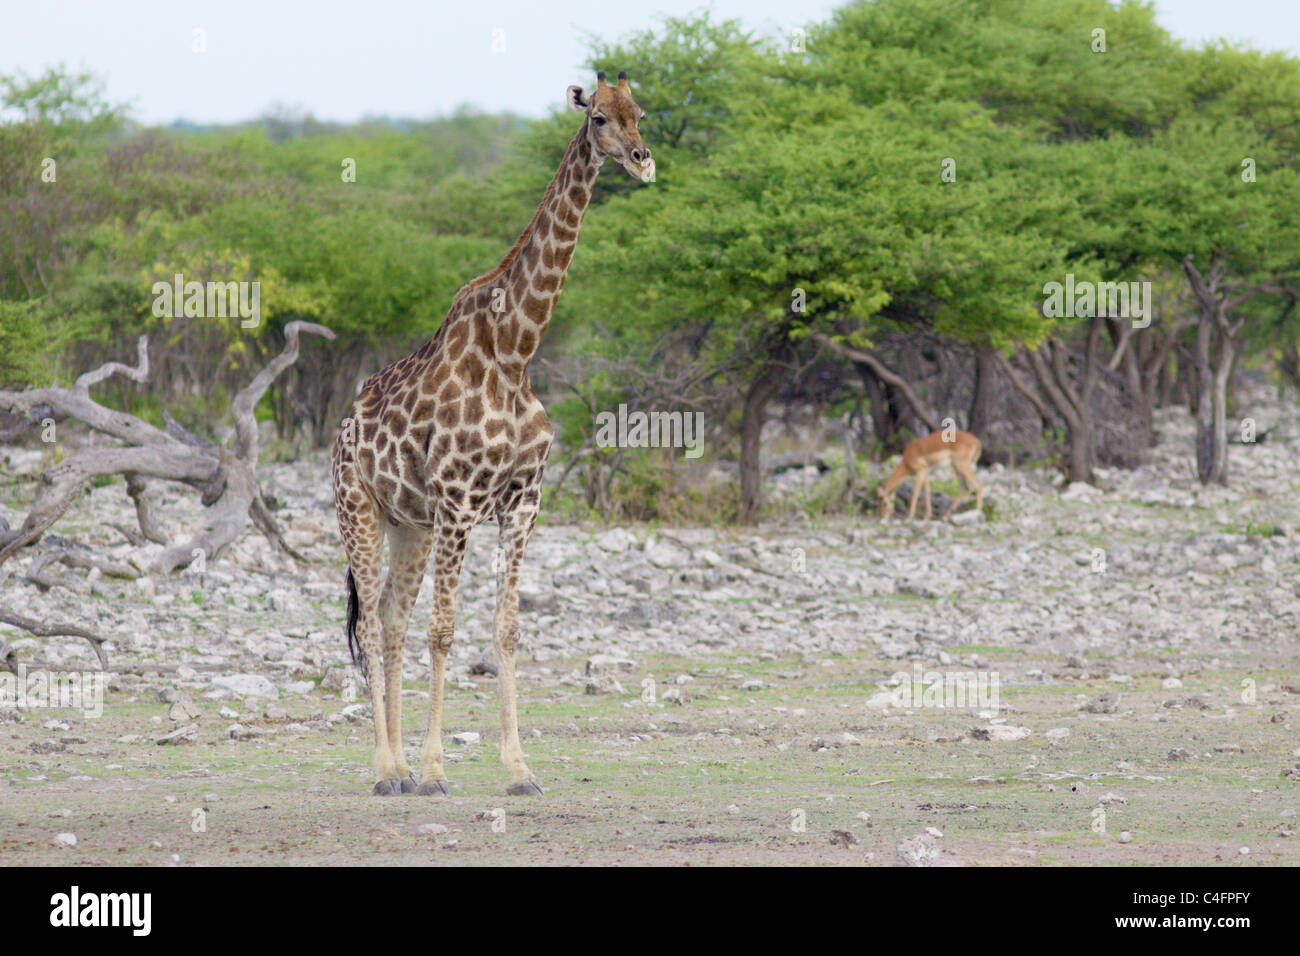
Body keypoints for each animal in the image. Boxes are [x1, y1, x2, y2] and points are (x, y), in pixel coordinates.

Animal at [330, 70, 655, 796]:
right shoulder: (458, 502)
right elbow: (444, 631)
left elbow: (506, 630)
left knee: (389, 619)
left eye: (640, 113)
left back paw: (395, 767)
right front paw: (434, 770)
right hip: (360, 511)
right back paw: (388, 770)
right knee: (375, 623)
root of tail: (339, 431)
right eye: (597, 117)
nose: (643, 160)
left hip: (410, 526)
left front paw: (519, 767)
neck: (516, 350)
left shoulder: (522, 501)